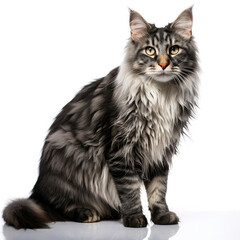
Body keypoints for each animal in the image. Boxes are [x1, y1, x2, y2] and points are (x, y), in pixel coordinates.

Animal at [3, 7, 199, 229]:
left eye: (174, 50)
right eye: (150, 50)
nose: (164, 64)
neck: (161, 94)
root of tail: (37, 192)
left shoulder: (160, 150)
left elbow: (158, 188)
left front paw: (161, 216)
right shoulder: (121, 150)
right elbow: (130, 189)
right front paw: (134, 217)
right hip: (70, 158)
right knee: (57, 208)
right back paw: (87, 212)